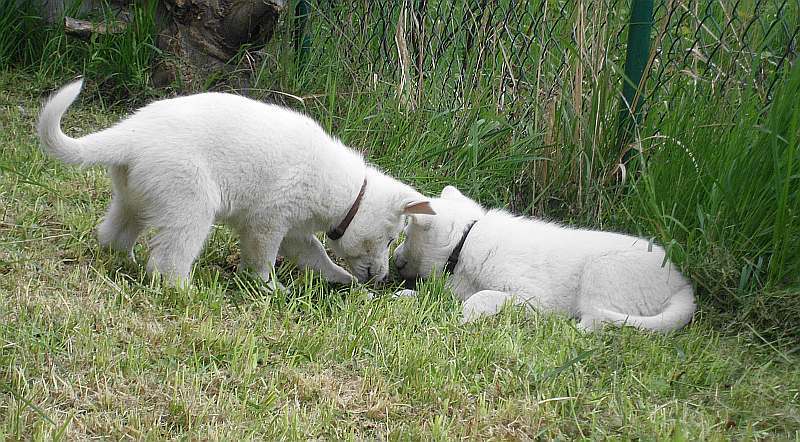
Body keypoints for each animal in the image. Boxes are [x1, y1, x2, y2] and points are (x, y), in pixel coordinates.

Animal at [39, 79, 434, 286]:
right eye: (389, 239)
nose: (381, 279)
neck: (350, 193)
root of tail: (131, 135)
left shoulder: (293, 231)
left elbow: (316, 254)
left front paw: (340, 278)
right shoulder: (268, 223)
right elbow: (263, 260)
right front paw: (269, 288)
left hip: (134, 199)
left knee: (113, 236)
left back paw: (123, 261)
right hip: (190, 205)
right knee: (167, 261)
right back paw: (183, 290)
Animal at [396, 185, 696, 334]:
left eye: (407, 233)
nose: (395, 259)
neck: (467, 238)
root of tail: (681, 284)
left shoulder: (533, 297)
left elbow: (484, 296)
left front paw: (466, 316)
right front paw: (407, 295)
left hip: (602, 273)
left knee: (597, 320)